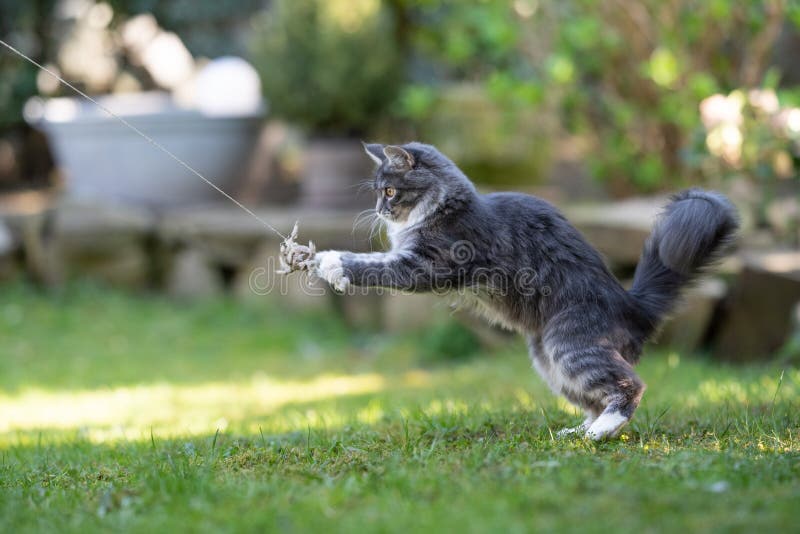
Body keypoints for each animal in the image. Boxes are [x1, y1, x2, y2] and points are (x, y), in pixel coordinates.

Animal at [302, 142, 736, 440]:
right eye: (379, 192)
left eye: (390, 191)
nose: (379, 210)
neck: (444, 207)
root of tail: (633, 305)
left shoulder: (430, 264)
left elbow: (373, 265)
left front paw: (331, 262)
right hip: (547, 359)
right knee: (594, 398)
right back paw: (579, 433)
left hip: (568, 344)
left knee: (630, 386)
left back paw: (600, 432)